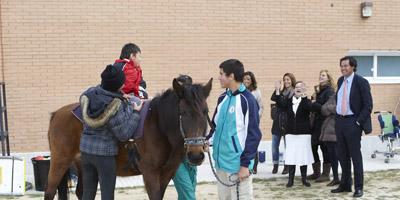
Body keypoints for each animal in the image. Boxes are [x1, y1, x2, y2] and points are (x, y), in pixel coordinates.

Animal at [45, 77, 212, 198]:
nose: (196, 155)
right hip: (60, 161)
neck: (159, 125)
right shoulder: (150, 173)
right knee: (49, 191)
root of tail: (56, 114)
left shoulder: (167, 174)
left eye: (205, 111)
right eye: (182, 112)